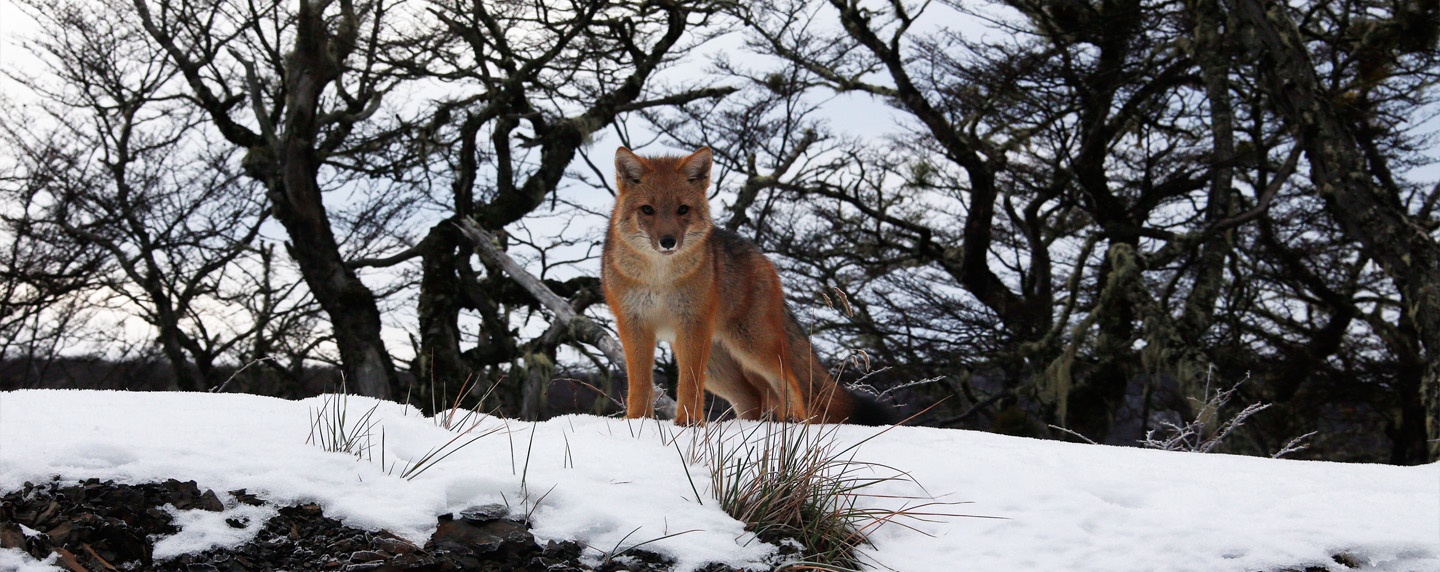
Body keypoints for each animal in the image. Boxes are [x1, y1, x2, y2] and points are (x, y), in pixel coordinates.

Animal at [596, 144, 887, 426]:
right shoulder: (634, 325)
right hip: (717, 365)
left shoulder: (691, 326)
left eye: (682, 209)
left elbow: (689, 386)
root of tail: (763, 258)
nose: (668, 241)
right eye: (647, 209)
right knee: (753, 397)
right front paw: (636, 422)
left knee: (788, 379)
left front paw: (688, 423)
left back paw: (794, 418)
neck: (659, 278)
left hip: (749, 348)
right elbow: (639, 385)